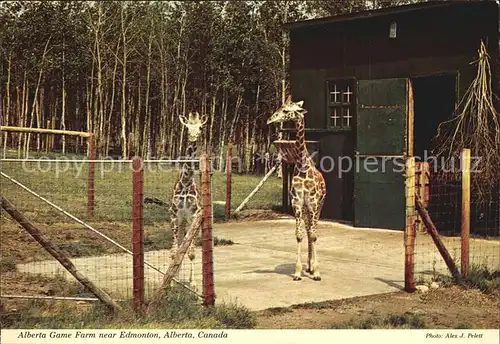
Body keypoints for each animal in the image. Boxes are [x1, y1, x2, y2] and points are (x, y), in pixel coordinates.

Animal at [266, 97, 328, 282]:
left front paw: (317, 272)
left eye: (287, 111)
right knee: (308, 231)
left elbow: (314, 235)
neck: (302, 166)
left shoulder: (313, 204)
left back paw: (313, 268)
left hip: (318, 207)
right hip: (307, 209)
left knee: (313, 232)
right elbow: (300, 235)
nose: (269, 120)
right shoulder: (297, 203)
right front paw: (298, 272)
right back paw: (308, 266)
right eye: (281, 107)